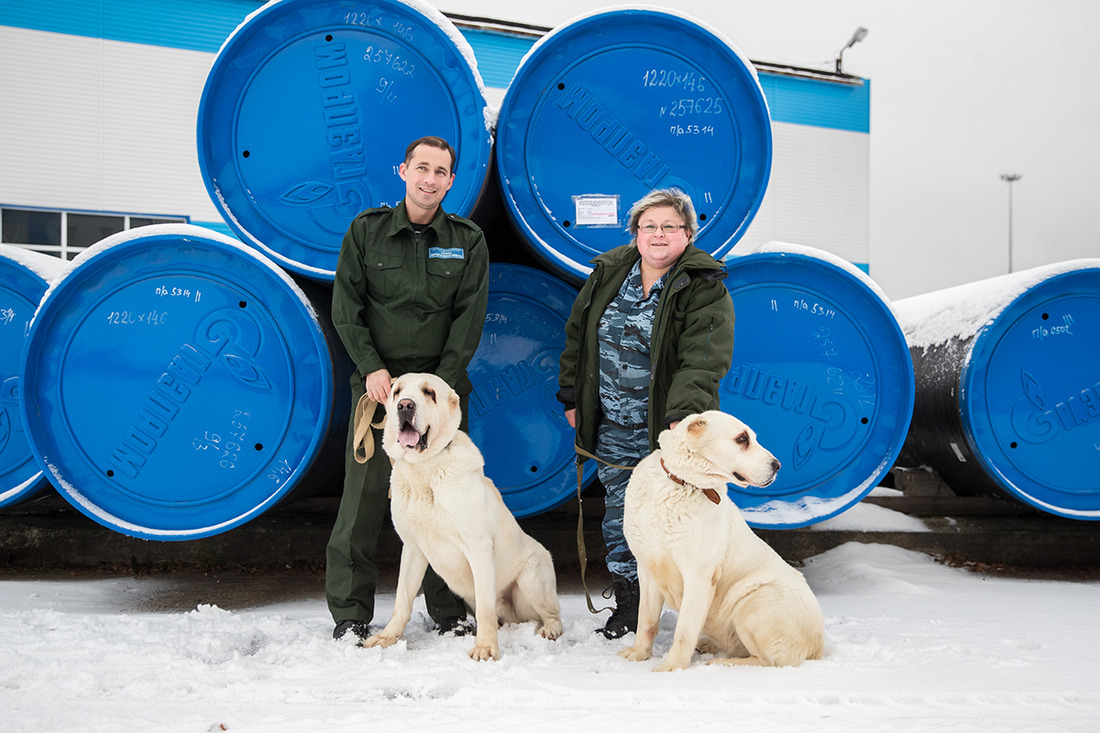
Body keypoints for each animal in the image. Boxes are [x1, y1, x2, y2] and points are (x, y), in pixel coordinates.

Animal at [363, 372, 563, 655]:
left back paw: (549, 630)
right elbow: (402, 600)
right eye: (397, 391)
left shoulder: (478, 546)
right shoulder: (413, 549)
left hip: (532, 576)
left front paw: (486, 648)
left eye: (429, 393)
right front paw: (386, 638)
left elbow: (485, 607)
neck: (424, 470)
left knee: (552, 615)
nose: (405, 405)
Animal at [624, 411, 822, 669]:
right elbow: (646, 621)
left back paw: (723, 663)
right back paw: (708, 646)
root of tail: (819, 643)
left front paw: (672, 667)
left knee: (770, 660)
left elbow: (684, 630)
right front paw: (639, 653)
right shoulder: (647, 569)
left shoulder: (699, 575)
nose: (777, 465)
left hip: (753, 604)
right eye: (742, 439)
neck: (680, 483)